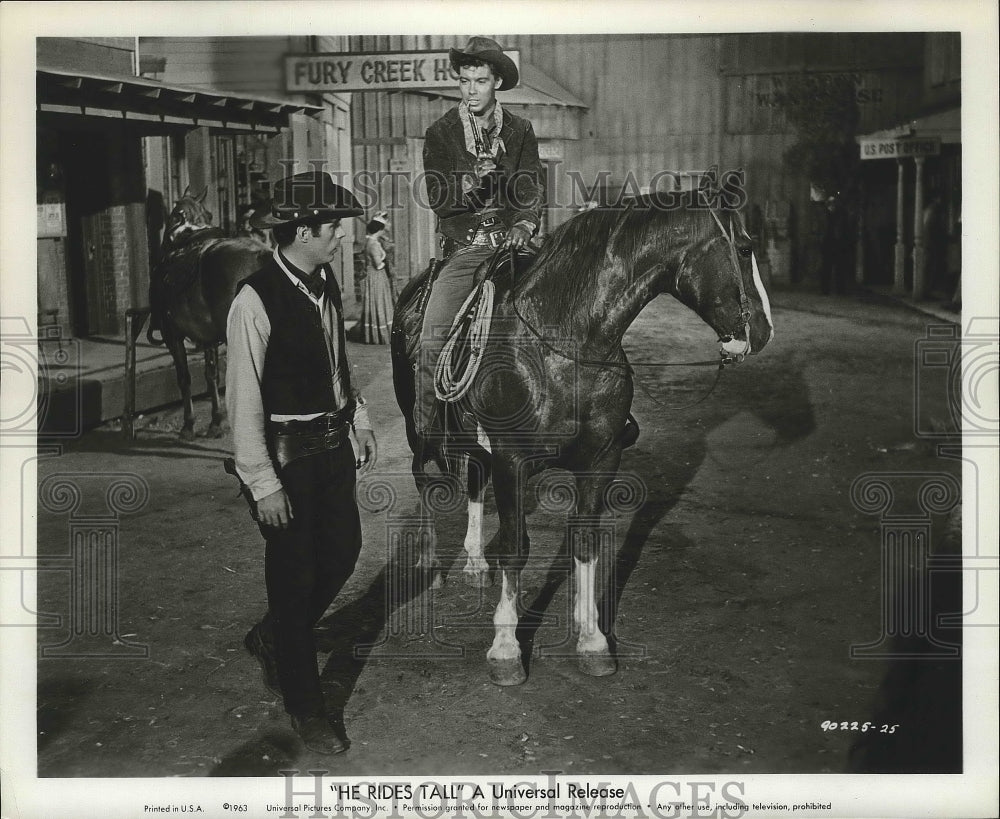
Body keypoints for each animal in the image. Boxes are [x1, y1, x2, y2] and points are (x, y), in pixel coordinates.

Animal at [147, 188, 270, 438]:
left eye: (172, 215)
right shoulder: (208, 336)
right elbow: (211, 374)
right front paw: (215, 421)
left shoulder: (171, 335)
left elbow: (184, 378)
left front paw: (188, 424)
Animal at [388, 195, 772, 688]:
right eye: (744, 248)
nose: (762, 332)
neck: (564, 342)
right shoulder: (511, 460)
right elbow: (516, 548)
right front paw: (506, 648)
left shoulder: (602, 458)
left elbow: (586, 543)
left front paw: (592, 641)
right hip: (418, 427)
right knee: (424, 479)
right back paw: (433, 565)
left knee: (473, 480)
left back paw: (474, 564)